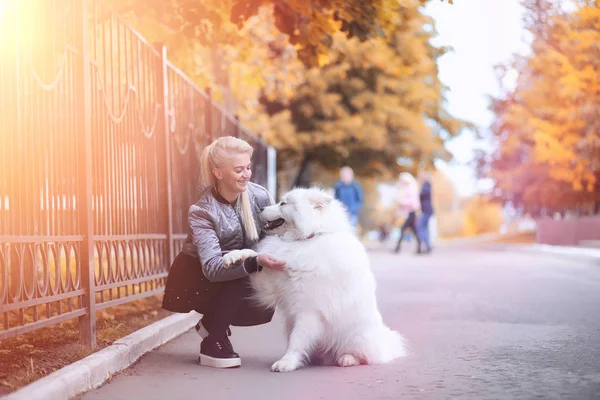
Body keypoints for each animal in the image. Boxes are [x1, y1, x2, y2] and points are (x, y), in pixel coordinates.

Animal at [225, 188, 408, 372]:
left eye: (283, 203)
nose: (260, 209)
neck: (309, 238)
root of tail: (385, 341)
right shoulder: (269, 282)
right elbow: (256, 255)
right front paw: (232, 257)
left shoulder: (309, 310)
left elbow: (297, 340)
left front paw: (287, 362)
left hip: (355, 335)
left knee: (364, 356)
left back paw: (347, 359)